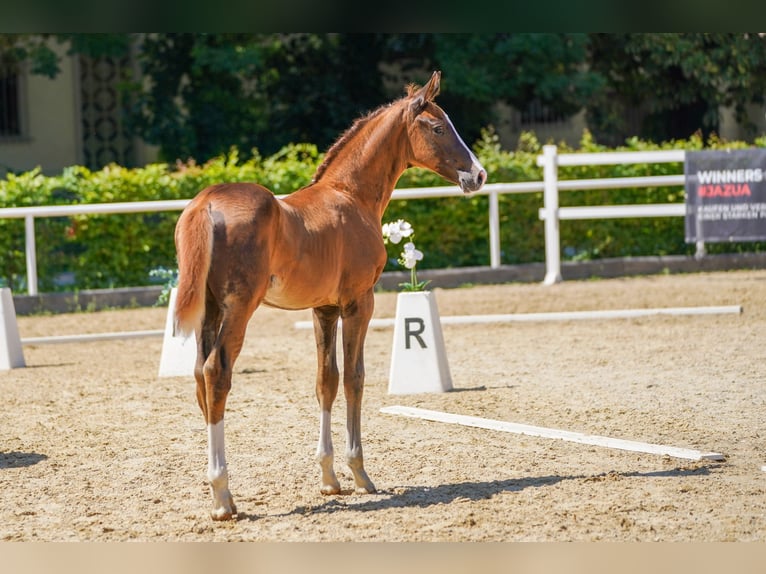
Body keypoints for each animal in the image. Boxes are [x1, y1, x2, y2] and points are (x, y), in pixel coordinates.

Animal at [174, 70, 487, 520]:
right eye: (439, 127)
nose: (478, 175)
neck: (350, 194)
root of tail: (205, 203)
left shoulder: (323, 309)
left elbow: (327, 379)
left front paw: (329, 478)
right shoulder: (360, 302)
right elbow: (355, 378)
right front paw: (360, 473)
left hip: (210, 308)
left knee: (200, 373)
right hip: (239, 308)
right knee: (217, 373)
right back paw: (222, 496)